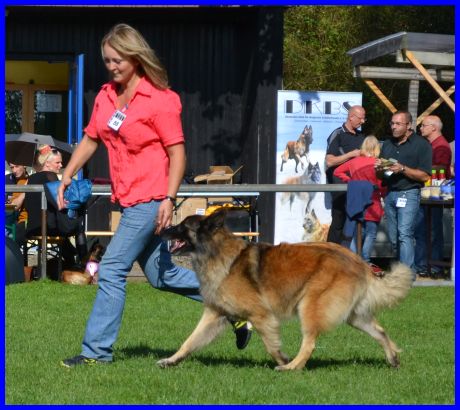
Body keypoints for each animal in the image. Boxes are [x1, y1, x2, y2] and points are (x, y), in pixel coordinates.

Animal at [158, 209, 413, 371]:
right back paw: (393, 358)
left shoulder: (261, 315)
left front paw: (282, 359)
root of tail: (358, 261)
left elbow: (271, 345)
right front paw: (171, 360)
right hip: (354, 315)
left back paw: (292, 367)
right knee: (380, 331)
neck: (216, 252)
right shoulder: (214, 314)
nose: (162, 230)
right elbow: (190, 341)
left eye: (182, 226)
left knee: (309, 343)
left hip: (310, 306)